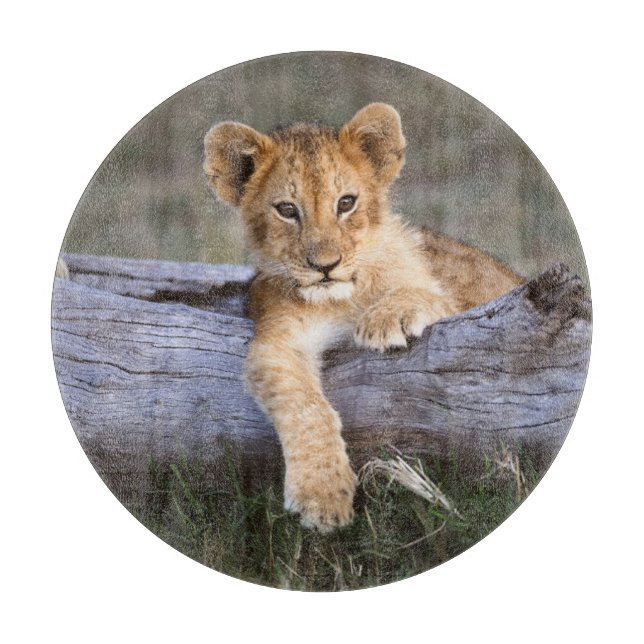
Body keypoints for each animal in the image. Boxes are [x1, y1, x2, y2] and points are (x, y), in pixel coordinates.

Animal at [204, 103, 522, 533]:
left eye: (346, 203)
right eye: (287, 210)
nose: (325, 266)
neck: (343, 299)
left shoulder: (458, 302)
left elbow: (426, 294)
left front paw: (386, 318)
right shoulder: (278, 339)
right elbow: (305, 406)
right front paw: (322, 496)